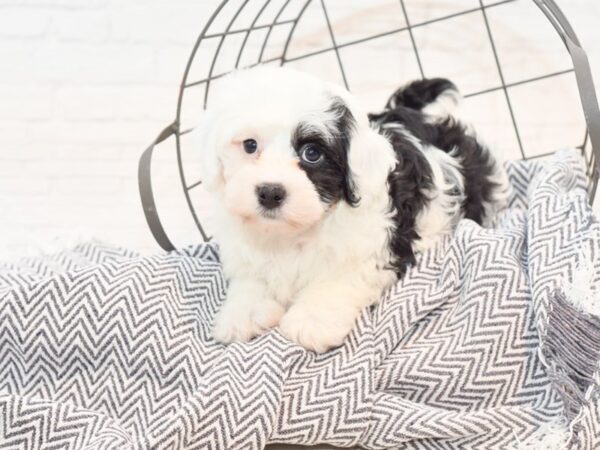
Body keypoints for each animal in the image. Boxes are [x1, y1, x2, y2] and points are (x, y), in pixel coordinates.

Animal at [199, 67, 508, 356]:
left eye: (312, 153)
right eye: (250, 145)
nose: (270, 192)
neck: (293, 231)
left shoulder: (373, 250)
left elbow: (337, 279)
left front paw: (311, 322)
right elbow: (251, 279)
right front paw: (243, 313)